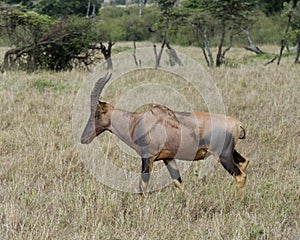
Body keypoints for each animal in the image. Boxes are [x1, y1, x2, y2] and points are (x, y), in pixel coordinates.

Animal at [81, 72, 250, 194]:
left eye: (96, 114)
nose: (83, 138)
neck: (139, 120)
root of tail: (237, 124)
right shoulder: (168, 158)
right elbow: (178, 182)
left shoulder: (147, 158)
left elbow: (142, 185)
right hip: (229, 152)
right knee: (244, 162)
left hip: (223, 156)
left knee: (240, 175)